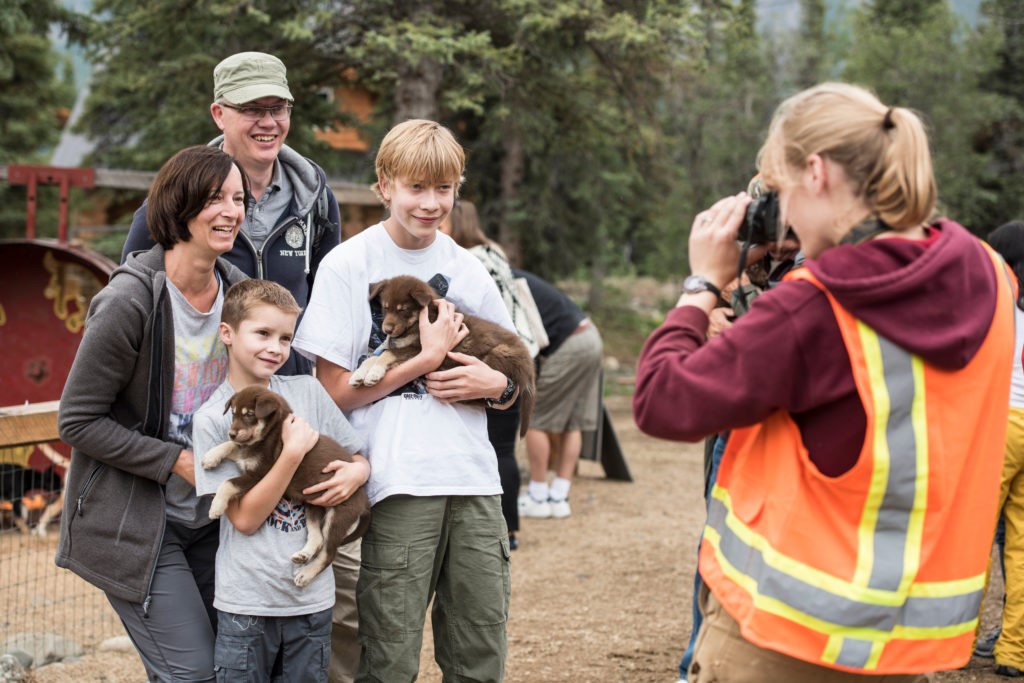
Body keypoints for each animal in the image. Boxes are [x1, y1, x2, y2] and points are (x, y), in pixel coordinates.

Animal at [199, 385, 372, 589]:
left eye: (249, 414)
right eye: (233, 413)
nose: (231, 432)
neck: (270, 433)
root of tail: (365, 502)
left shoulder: (260, 475)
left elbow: (227, 483)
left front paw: (216, 507)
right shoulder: (247, 453)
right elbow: (233, 445)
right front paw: (211, 455)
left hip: (338, 516)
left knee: (328, 553)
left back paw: (306, 573)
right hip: (314, 504)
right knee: (318, 538)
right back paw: (303, 555)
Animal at [350, 274, 536, 438]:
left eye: (403, 310)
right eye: (386, 307)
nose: (386, 329)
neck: (416, 324)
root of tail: (530, 366)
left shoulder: (417, 350)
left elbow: (386, 354)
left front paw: (373, 374)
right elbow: (373, 357)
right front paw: (359, 375)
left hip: (497, 356)